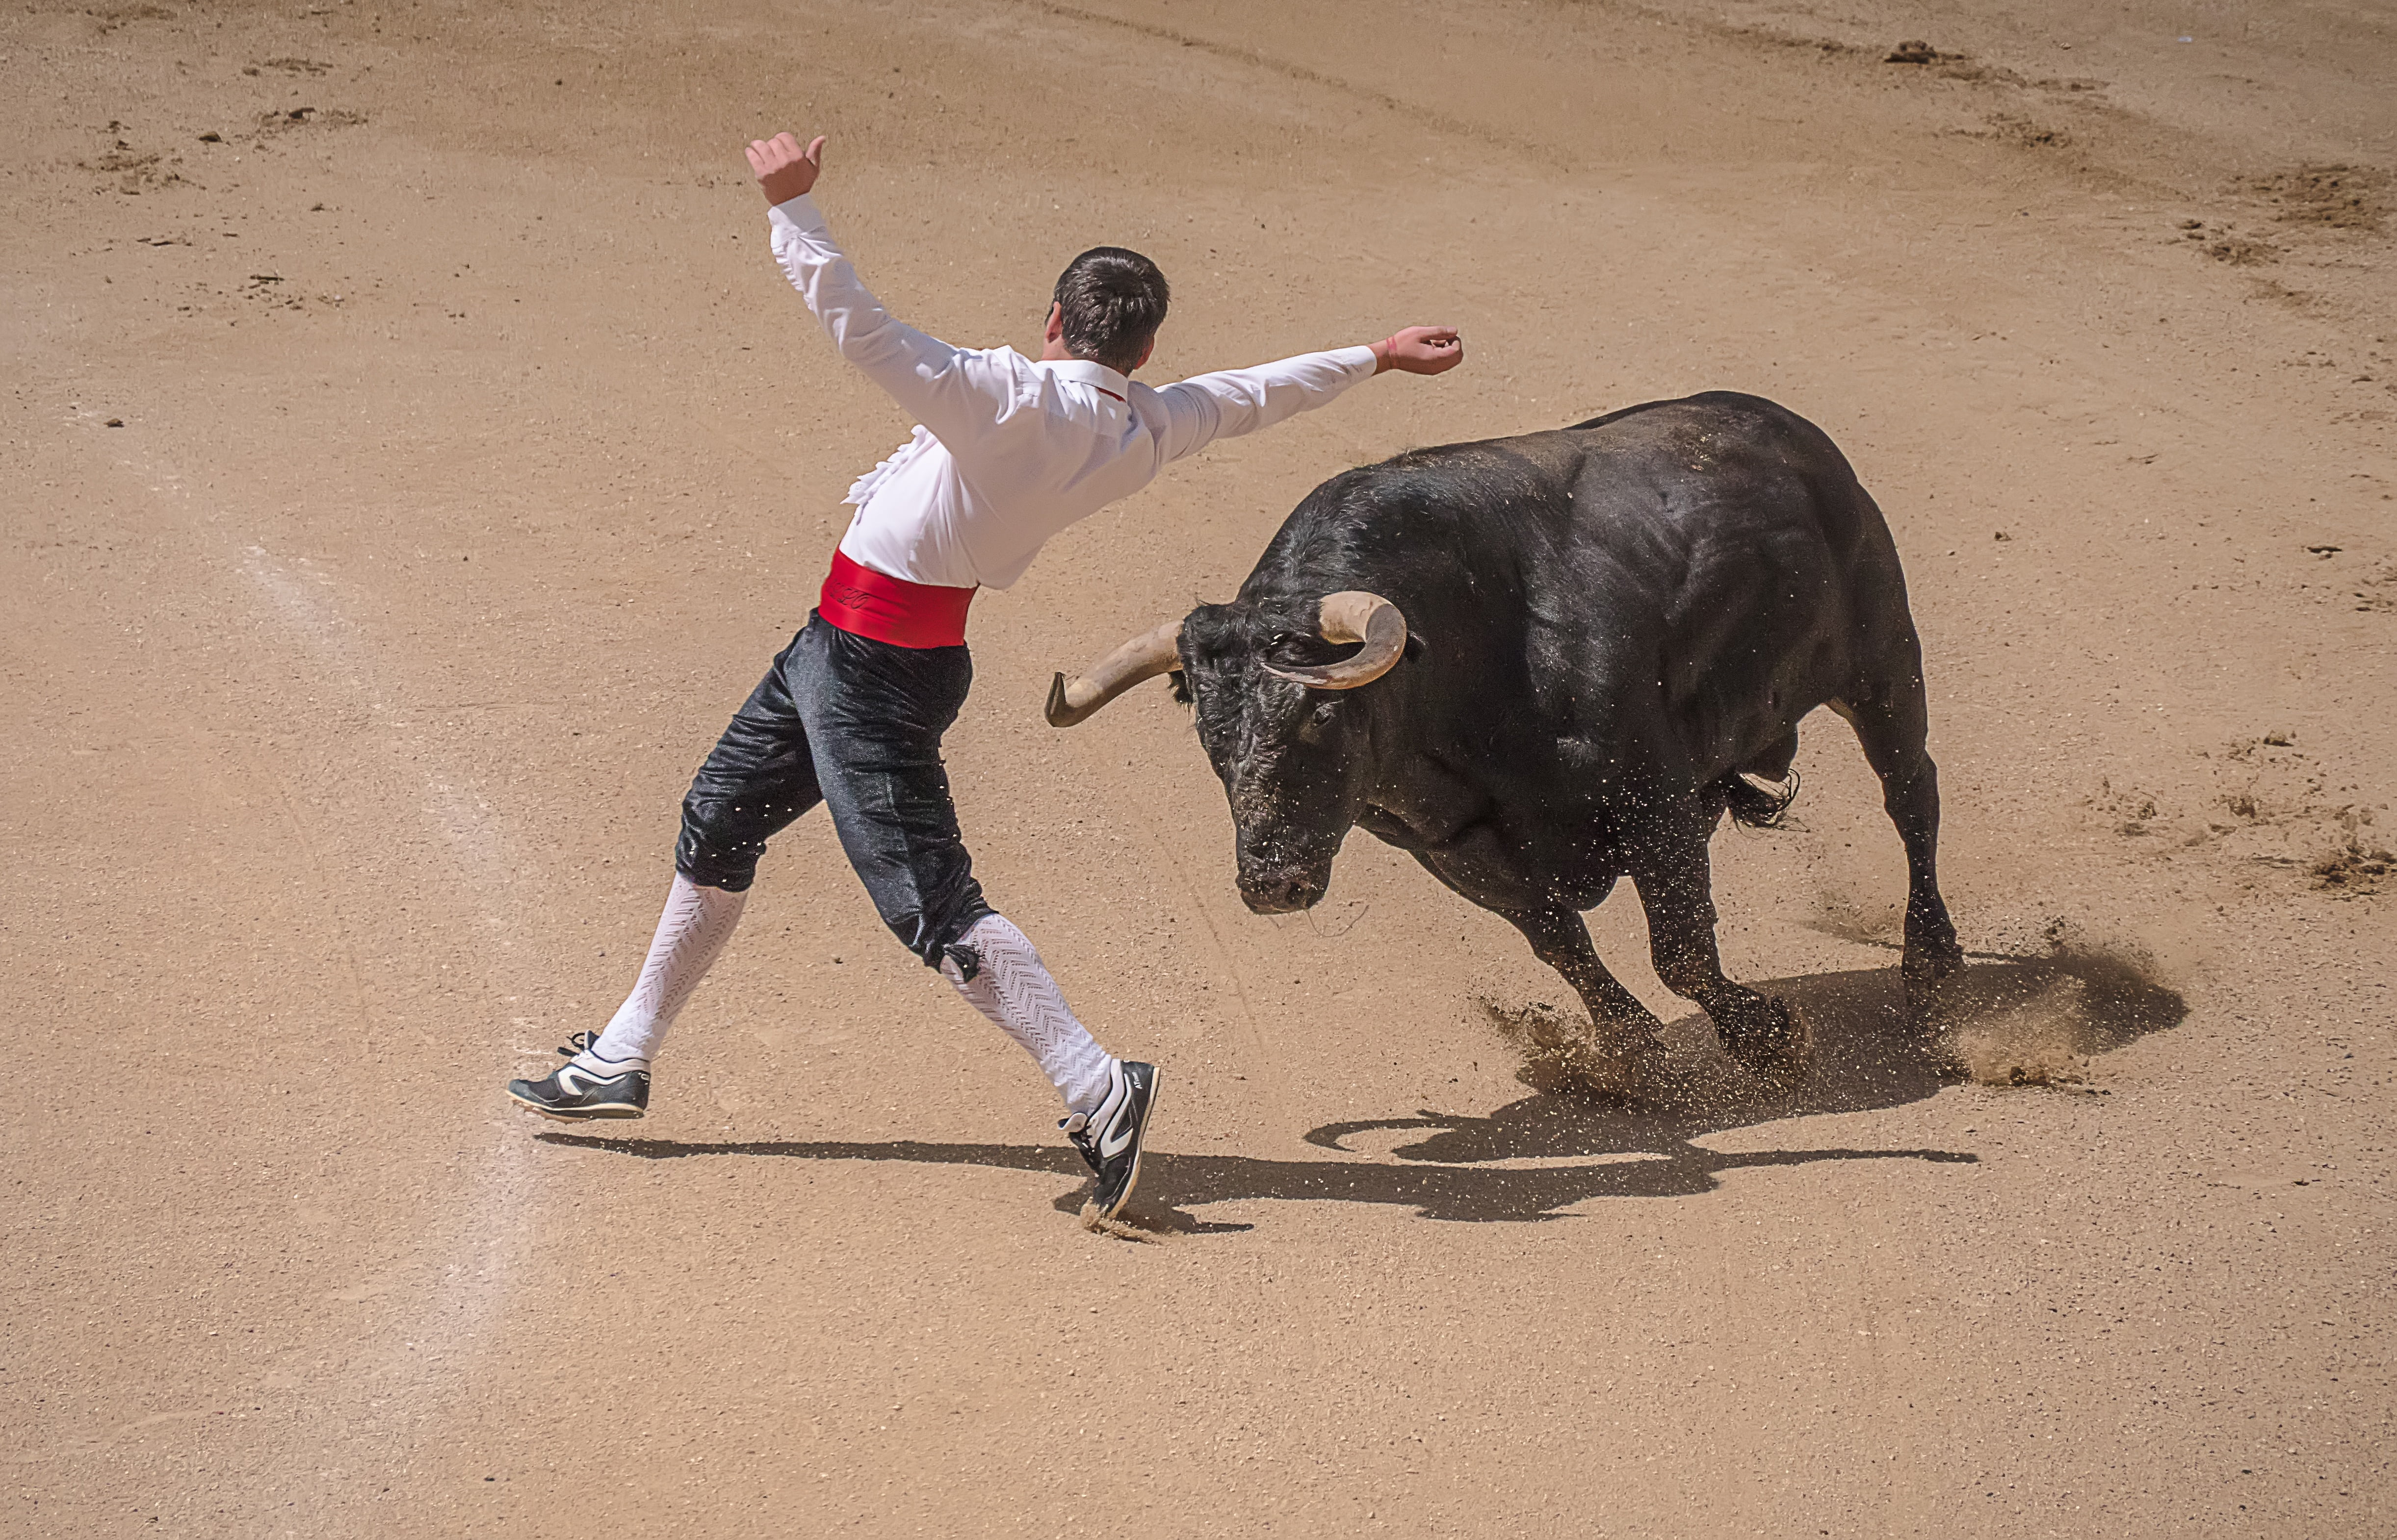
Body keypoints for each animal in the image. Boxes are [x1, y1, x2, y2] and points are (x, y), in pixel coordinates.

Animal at [1044, 391, 1963, 1091]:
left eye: (1317, 717)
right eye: (1212, 739)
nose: (1272, 883)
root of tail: (1793, 433)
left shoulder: (1654, 803)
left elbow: (1681, 953)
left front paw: (1767, 1039)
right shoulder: (1450, 848)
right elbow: (1561, 945)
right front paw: (1634, 1058)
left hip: (1883, 665)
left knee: (1911, 798)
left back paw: (1933, 978)